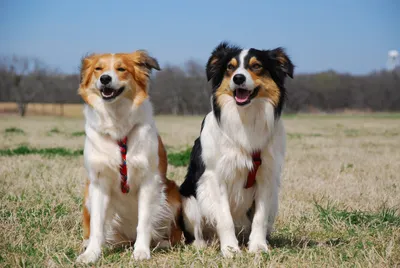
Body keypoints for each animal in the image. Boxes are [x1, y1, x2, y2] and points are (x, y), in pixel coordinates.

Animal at [75, 50, 181, 264]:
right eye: (98, 68)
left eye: (121, 69)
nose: (105, 79)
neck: (116, 121)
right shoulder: (98, 184)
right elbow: (97, 225)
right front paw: (91, 254)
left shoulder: (149, 181)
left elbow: (145, 221)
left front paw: (141, 251)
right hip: (88, 195)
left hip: (172, 194)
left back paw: (161, 244)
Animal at [179, 41, 294, 255]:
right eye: (230, 67)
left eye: (257, 66)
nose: (238, 78)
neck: (245, 116)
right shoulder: (216, 177)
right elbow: (224, 218)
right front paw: (230, 249)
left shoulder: (266, 176)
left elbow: (259, 218)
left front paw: (258, 246)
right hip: (188, 199)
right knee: (197, 231)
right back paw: (202, 245)